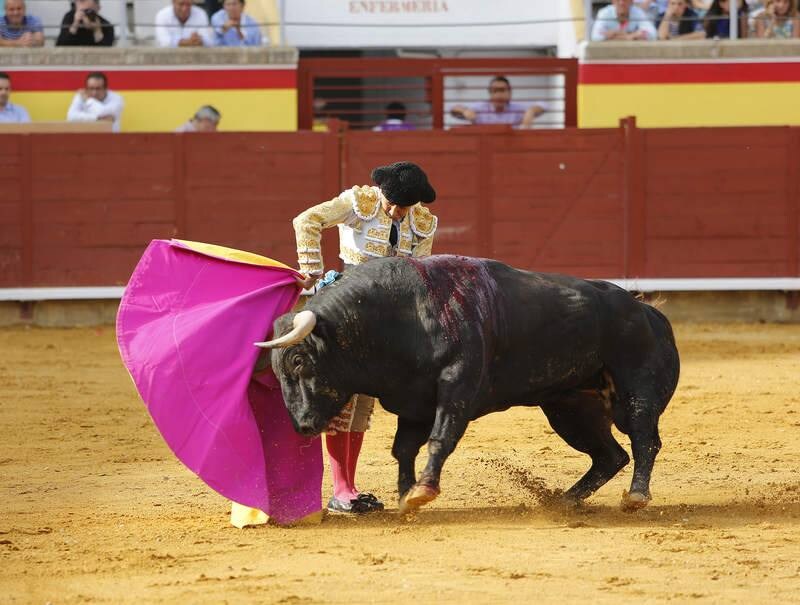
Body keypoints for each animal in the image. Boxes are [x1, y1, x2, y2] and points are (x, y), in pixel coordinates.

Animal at [258, 252, 680, 512]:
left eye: (298, 360)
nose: (302, 425)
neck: (400, 315)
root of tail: (647, 311)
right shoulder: (414, 402)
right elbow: (403, 448)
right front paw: (406, 495)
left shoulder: (457, 387)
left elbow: (440, 438)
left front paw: (422, 491)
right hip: (569, 408)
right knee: (610, 455)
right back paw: (564, 500)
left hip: (635, 392)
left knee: (644, 439)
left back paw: (636, 497)